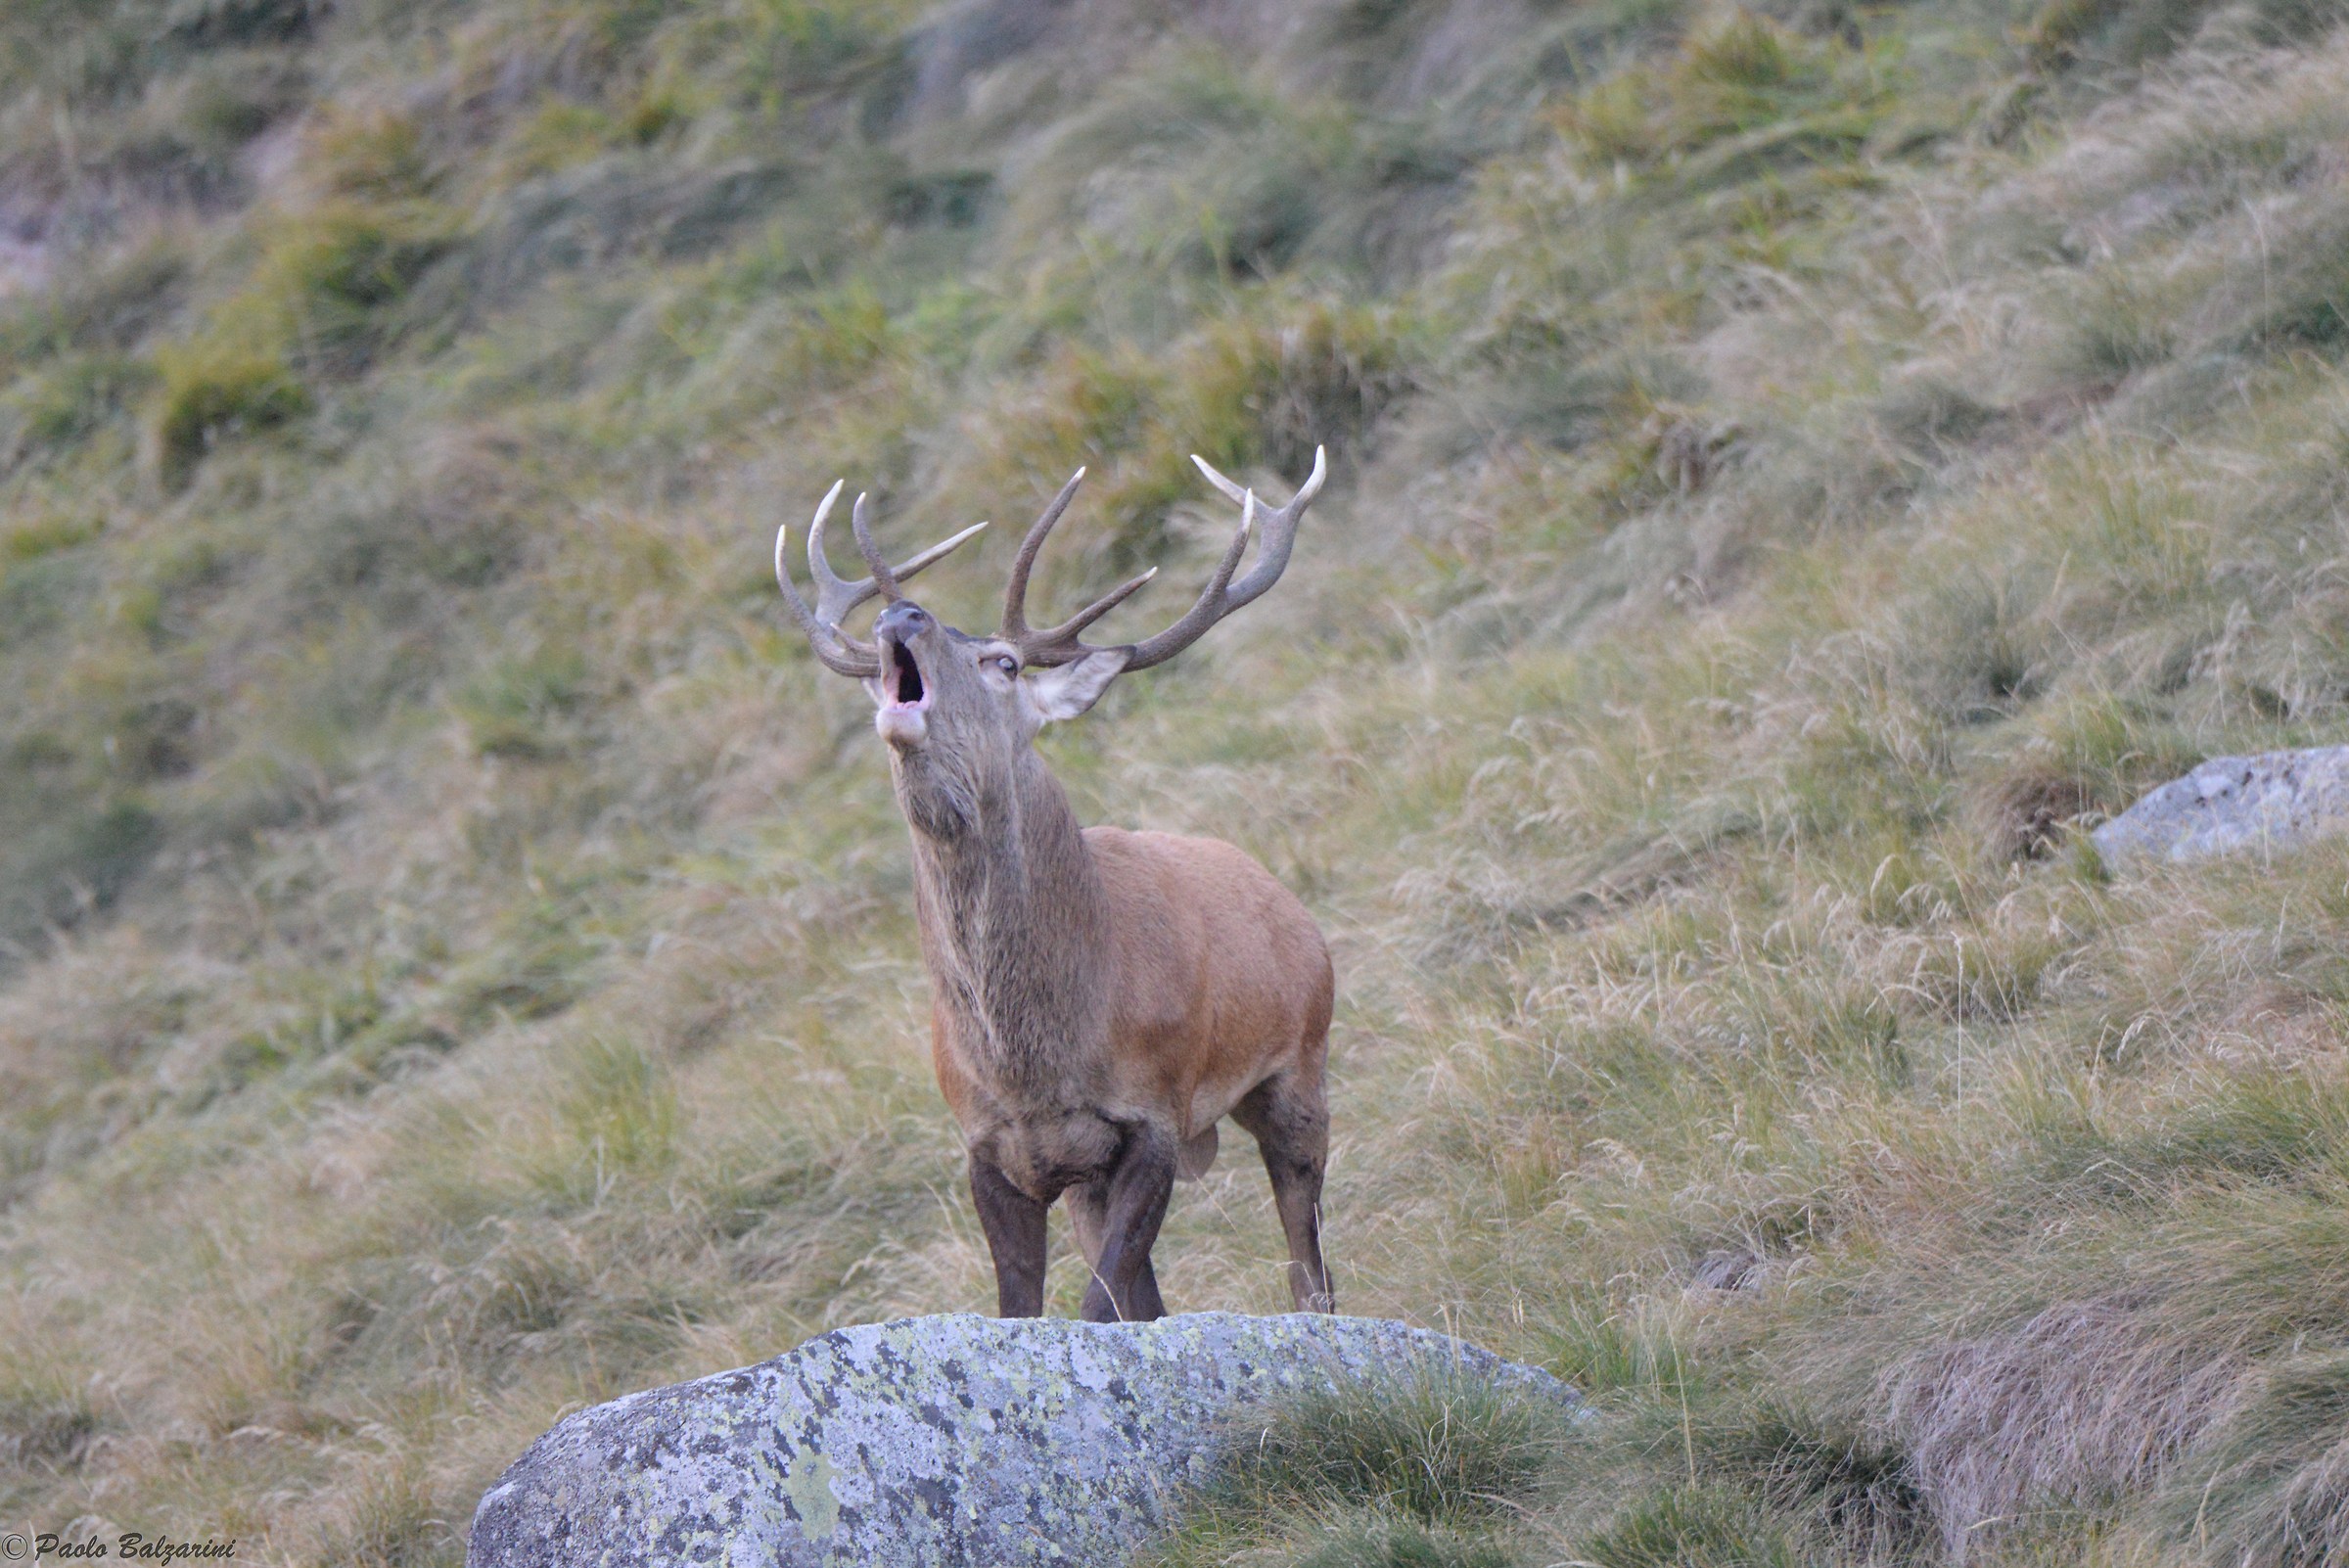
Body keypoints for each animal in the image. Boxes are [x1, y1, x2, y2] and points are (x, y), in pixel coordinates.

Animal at [771, 449, 1335, 1323]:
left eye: (1003, 663)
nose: (902, 615)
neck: (1038, 1064)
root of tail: (1287, 900)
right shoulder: (993, 1148)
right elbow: (1039, 1310)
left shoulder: (1154, 1113)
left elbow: (1099, 1308)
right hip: (1088, 1177)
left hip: (1301, 1062)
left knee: (1309, 1267)